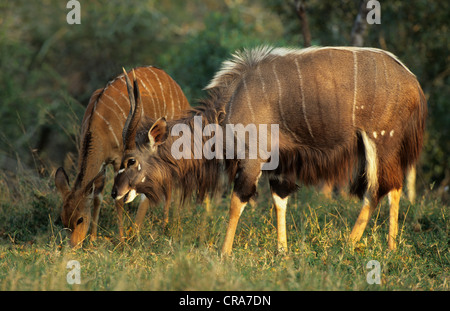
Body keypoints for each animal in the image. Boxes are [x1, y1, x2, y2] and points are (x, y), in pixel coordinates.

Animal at [55, 66, 190, 249]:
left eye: (80, 219)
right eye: (63, 219)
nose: (72, 246)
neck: (98, 127)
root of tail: (180, 92)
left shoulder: (120, 159)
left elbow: (118, 199)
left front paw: (121, 240)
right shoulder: (103, 165)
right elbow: (97, 196)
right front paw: (93, 239)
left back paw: (165, 228)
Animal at [110, 47, 426, 256]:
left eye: (131, 160)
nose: (115, 193)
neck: (229, 106)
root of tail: (414, 83)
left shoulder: (253, 158)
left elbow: (237, 202)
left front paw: (223, 254)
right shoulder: (280, 164)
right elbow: (279, 201)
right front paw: (282, 251)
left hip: (381, 140)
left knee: (384, 187)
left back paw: (378, 246)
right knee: (383, 187)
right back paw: (362, 243)